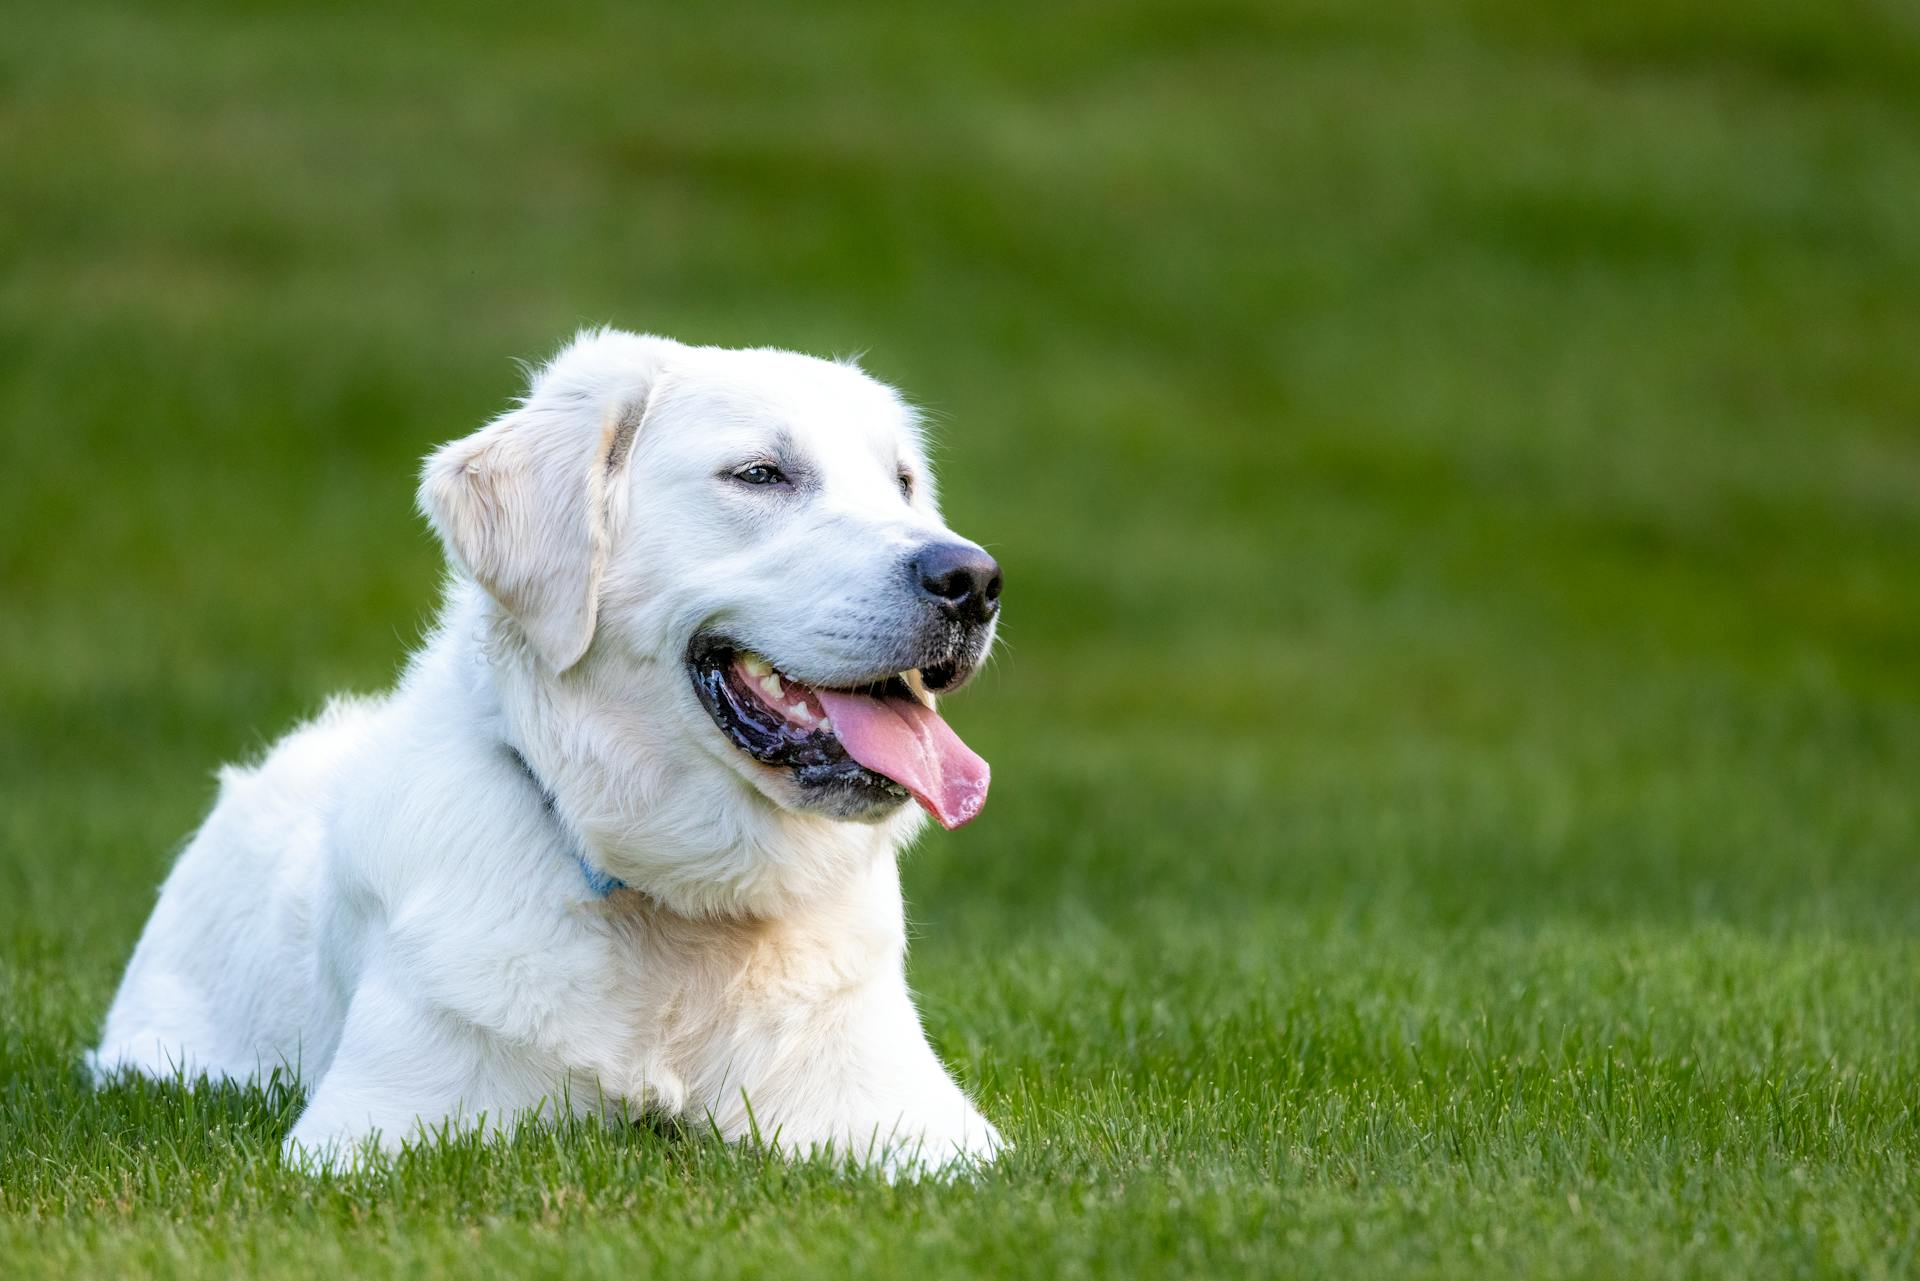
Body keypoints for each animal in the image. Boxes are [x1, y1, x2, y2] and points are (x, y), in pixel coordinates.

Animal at [90, 330, 1006, 1175]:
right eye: (759, 475)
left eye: (903, 483)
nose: (974, 579)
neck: (675, 909)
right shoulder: (369, 1133)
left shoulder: (923, 1128)